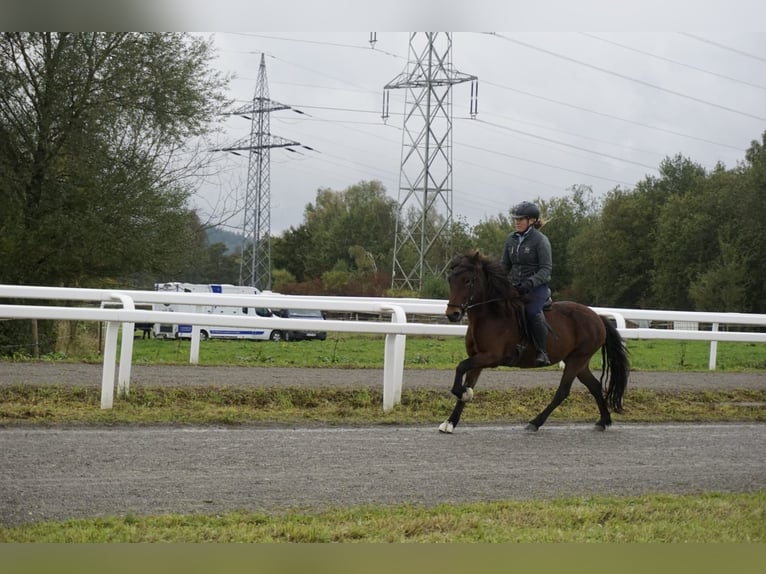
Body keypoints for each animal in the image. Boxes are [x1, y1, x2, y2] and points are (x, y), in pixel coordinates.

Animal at [444, 250, 632, 434]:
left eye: (468, 281)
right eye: (450, 280)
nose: (452, 314)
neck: (491, 315)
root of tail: (598, 317)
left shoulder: (491, 357)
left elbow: (460, 367)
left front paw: (463, 393)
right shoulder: (478, 358)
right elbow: (467, 379)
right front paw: (450, 422)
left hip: (577, 360)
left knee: (563, 391)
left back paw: (535, 423)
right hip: (579, 362)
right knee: (594, 386)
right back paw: (604, 421)